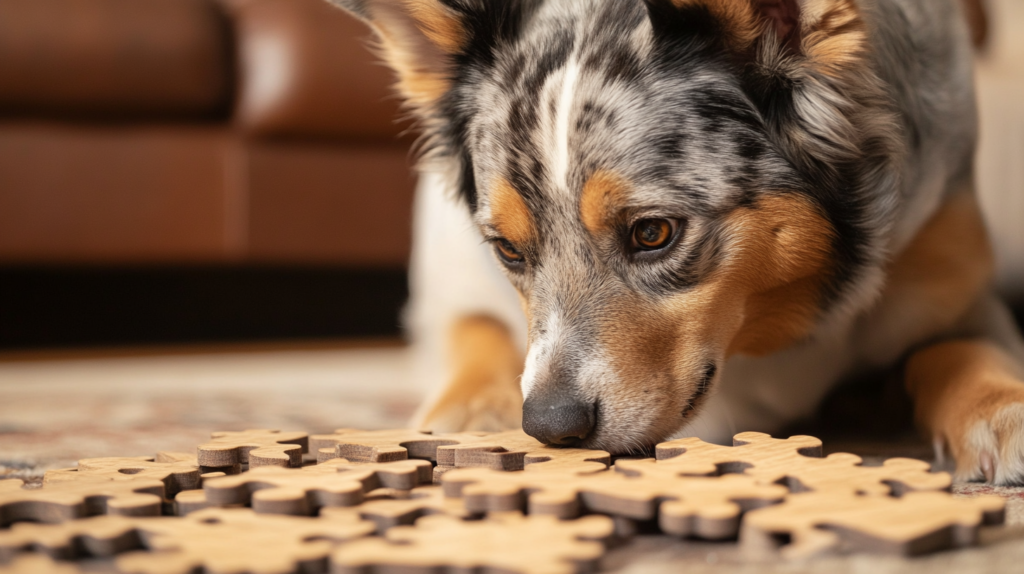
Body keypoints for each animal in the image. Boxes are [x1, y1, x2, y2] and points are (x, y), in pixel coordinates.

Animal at [329, 0, 1024, 482]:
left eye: (653, 233)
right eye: (508, 251)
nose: (550, 428)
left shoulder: (950, 275)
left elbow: (963, 350)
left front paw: (1002, 410)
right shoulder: (452, 292)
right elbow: (477, 334)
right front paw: (476, 416)